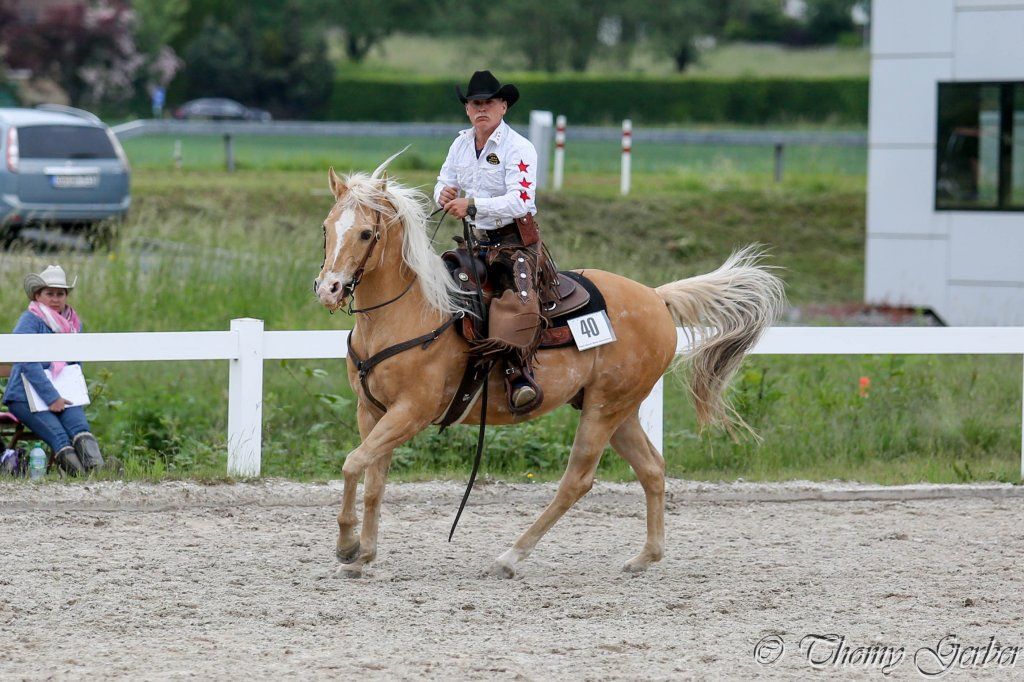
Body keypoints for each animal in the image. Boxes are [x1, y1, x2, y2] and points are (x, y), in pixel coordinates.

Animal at [314, 157, 784, 579]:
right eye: (326, 227)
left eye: (366, 232)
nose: (329, 289)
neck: (414, 311)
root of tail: (656, 296)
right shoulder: (372, 411)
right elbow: (374, 480)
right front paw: (364, 555)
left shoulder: (412, 411)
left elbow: (353, 464)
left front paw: (347, 546)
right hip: (620, 409)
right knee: (652, 468)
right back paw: (644, 557)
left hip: (604, 410)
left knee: (577, 480)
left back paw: (509, 558)